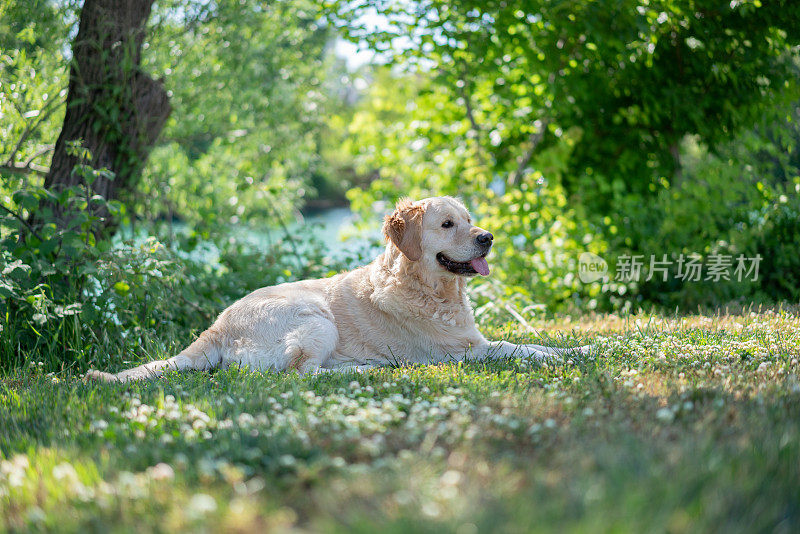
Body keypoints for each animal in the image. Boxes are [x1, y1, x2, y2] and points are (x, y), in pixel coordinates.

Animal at [87, 199, 588, 384]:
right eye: (448, 224)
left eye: (470, 219)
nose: (488, 238)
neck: (430, 288)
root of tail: (216, 327)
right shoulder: (465, 351)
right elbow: (520, 348)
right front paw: (573, 353)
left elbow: (536, 343)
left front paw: (577, 347)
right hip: (313, 317)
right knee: (302, 374)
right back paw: (368, 370)